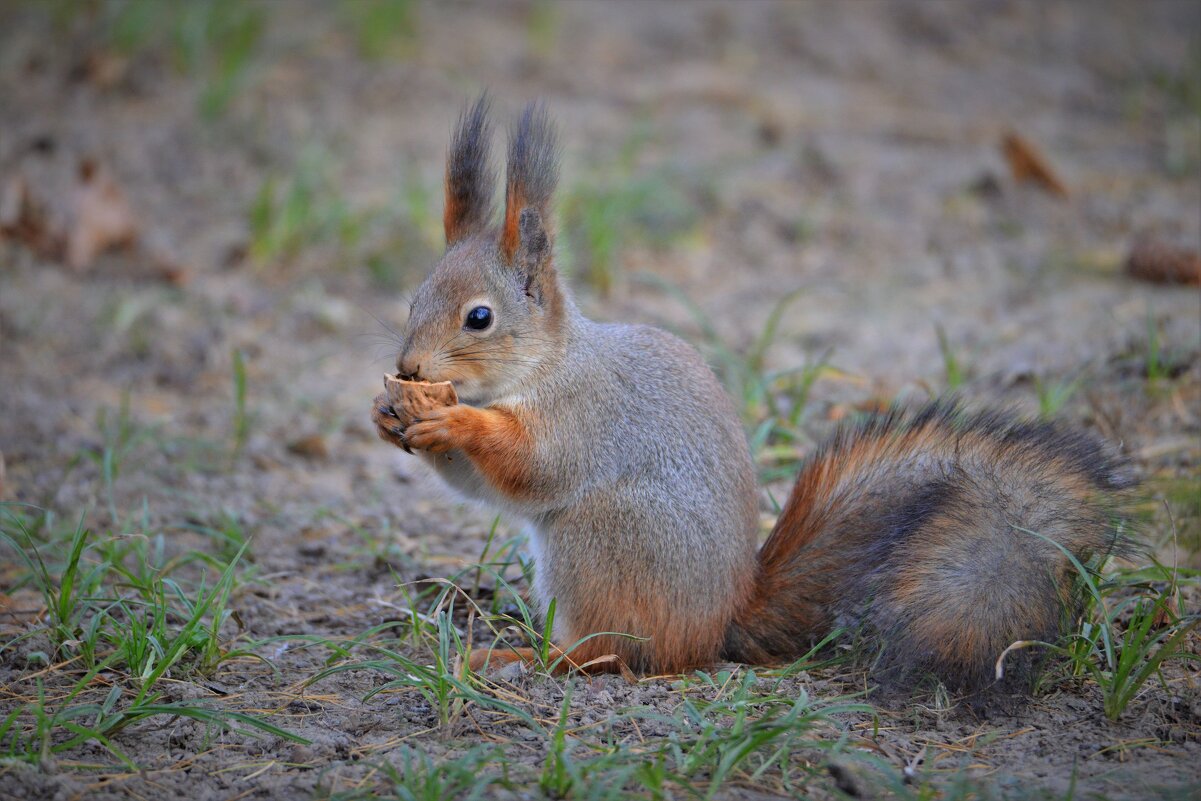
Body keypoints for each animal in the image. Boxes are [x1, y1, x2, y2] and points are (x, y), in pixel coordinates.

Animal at [369, 97, 1128, 691]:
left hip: (605, 545)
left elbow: (536, 468)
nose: (407, 366)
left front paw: (454, 422)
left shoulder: (589, 413)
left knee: (610, 655)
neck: (548, 364)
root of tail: (720, 623)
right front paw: (389, 415)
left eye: (479, 317)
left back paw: (522, 658)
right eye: (413, 298)